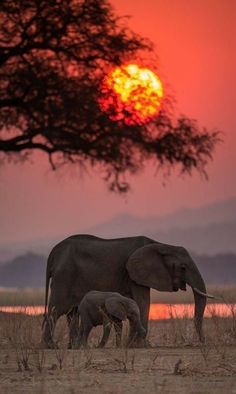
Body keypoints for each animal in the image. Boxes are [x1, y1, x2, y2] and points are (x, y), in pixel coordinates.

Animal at [42, 234, 212, 348]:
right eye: (183, 268)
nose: (203, 342)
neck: (161, 245)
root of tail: (53, 253)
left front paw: (132, 344)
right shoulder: (134, 274)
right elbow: (143, 301)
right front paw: (141, 345)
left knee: (71, 312)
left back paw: (72, 347)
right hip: (64, 276)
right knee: (56, 310)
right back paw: (51, 347)